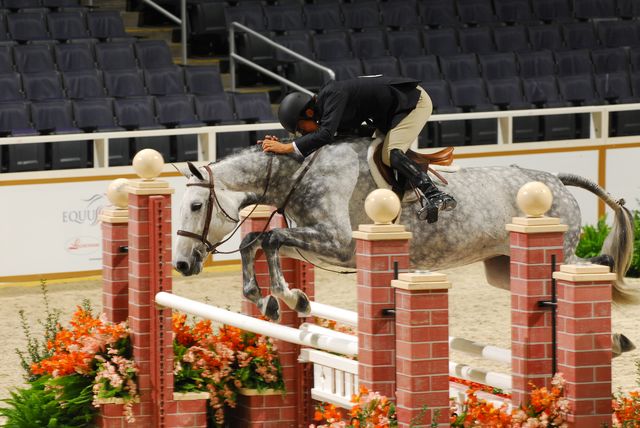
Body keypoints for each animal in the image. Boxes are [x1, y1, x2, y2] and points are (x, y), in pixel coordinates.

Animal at [171, 140, 636, 324]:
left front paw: (286, 298)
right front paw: (268, 298)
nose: (181, 265)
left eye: (195, 206)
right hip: (504, 269)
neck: (299, 174)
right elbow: (256, 241)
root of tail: (555, 178)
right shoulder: (315, 244)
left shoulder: (339, 245)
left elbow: (267, 239)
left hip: (558, 252)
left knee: (592, 268)